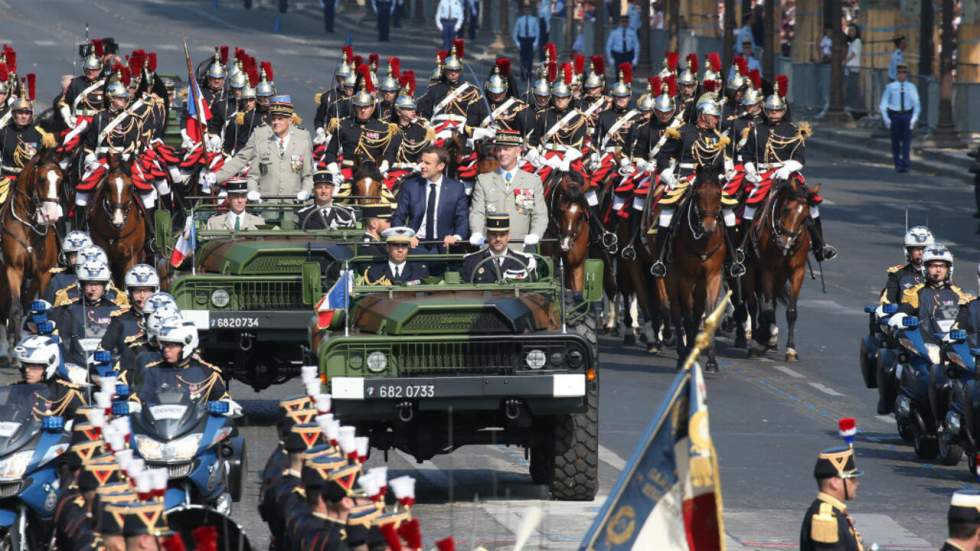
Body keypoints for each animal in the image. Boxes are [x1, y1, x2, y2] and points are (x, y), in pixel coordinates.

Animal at [0, 149, 65, 352]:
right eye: (42, 179)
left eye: (61, 179)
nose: (52, 216)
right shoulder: (14, 269)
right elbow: (15, 308)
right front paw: (13, 344)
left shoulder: (43, 273)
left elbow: (41, 306)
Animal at [660, 164, 728, 370]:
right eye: (697, 193)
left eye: (719, 192)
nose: (708, 226)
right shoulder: (685, 277)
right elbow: (687, 314)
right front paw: (689, 354)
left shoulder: (714, 276)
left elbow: (708, 314)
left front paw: (711, 360)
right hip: (671, 277)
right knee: (676, 309)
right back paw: (682, 351)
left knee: (698, 310)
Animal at [740, 174, 816, 362]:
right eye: (786, 210)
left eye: (805, 216)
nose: (785, 243)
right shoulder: (767, 269)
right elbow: (765, 307)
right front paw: (766, 337)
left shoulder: (797, 271)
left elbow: (791, 310)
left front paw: (790, 349)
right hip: (750, 270)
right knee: (753, 304)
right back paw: (757, 338)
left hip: (779, 277)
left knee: (769, 301)